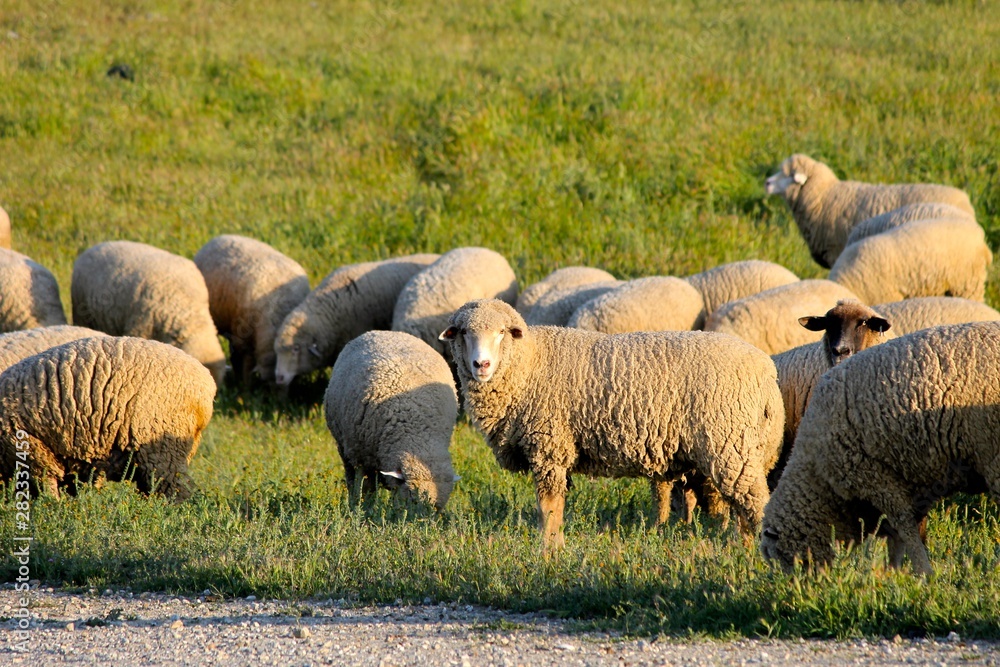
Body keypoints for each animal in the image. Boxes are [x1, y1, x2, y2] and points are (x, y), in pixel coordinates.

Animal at [194, 235, 310, 385]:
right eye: (268, 383)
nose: (280, 390)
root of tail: (220, 237)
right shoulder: (244, 339)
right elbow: (246, 367)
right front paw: (245, 386)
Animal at [324, 331, 459, 510]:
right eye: (413, 501)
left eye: (438, 509)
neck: (416, 429)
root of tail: (385, 332)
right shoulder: (360, 457)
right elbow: (366, 489)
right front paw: (363, 508)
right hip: (344, 447)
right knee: (351, 476)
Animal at [439, 299, 784, 550]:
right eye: (464, 332)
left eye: (501, 332)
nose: (481, 365)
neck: (530, 365)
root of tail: (767, 374)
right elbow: (556, 505)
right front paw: (555, 543)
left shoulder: (549, 447)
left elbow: (548, 506)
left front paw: (548, 549)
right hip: (742, 450)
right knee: (738, 507)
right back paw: (739, 546)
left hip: (730, 447)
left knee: (754, 504)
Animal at [760, 321, 1000, 575]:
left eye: (777, 556)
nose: (797, 583)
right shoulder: (914, 484)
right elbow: (900, 535)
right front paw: (895, 572)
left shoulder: (877, 477)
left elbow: (904, 528)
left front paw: (922, 572)